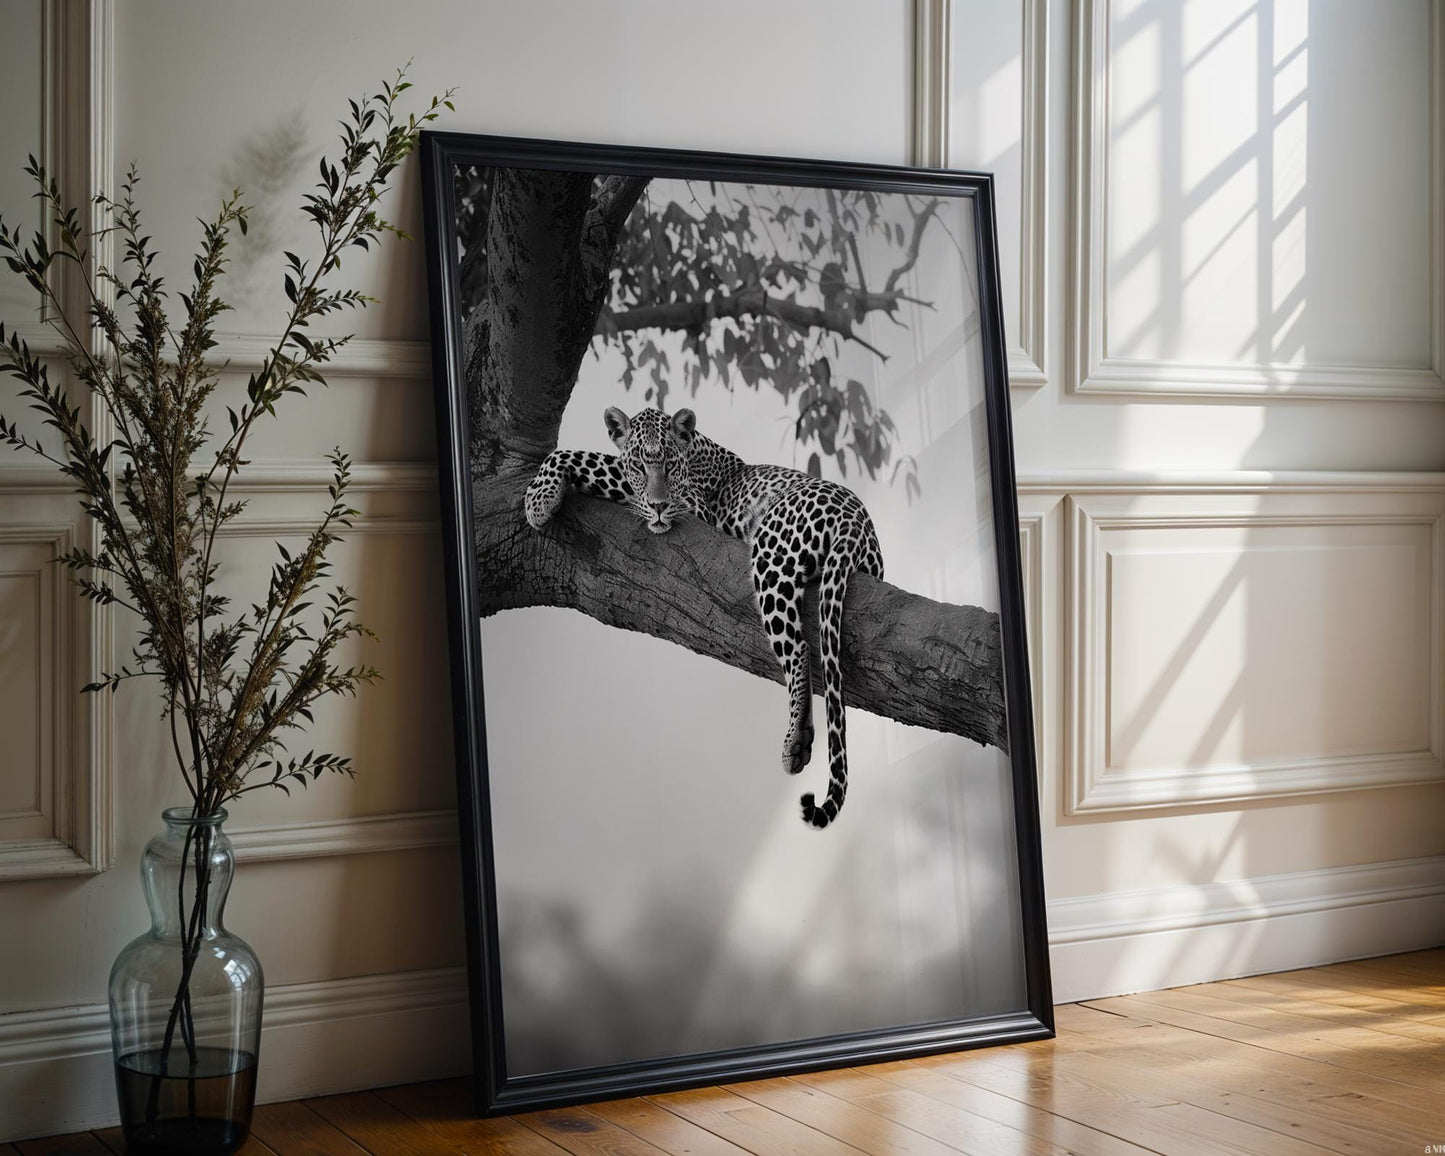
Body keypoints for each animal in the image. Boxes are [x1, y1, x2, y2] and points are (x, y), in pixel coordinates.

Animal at [523, 405, 884, 829]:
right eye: (641, 465)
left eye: (669, 465)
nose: (660, 506)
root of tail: (857, 520)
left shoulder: (690, 505)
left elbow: (586, 457)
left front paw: (537, 501)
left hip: (770, 554)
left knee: (798, 648)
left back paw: (795, 740)